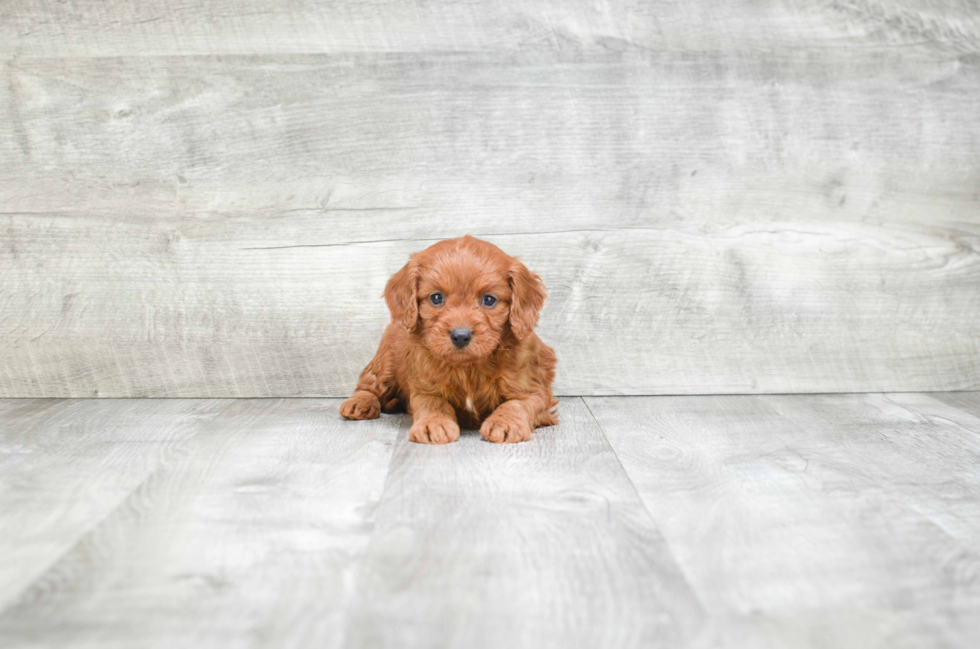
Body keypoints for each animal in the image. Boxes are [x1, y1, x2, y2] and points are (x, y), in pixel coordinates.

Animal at [338, 235, 556, 442]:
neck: (468, 368)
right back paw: (359, 402)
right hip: (386, 361)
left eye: (489, 300)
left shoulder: (533, 389)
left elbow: (518, 404)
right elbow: (434, 403)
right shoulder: (424, 387)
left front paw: (506, 423)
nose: (460, 336)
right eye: (436, 298)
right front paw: (433, 424)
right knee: (370, 384)